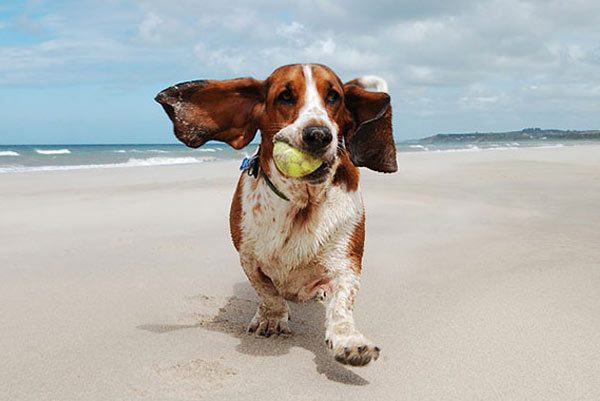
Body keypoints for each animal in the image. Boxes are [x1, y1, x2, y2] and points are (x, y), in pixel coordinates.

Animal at [157, 63, 396, 366]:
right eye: (285, 96)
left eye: (334, 97)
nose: (318, 135)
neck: (302, 203)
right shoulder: (248, 258)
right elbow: (267, 290)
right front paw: (271, 318)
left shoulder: (347, 263)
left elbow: (342, 303)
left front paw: (349, 341)